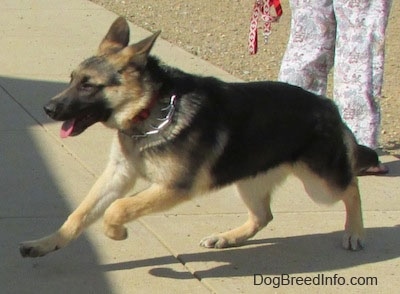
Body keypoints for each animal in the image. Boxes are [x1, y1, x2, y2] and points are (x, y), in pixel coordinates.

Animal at [20, 17, 380, 258]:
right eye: (71, 79)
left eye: (88, 85)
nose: (47, 108)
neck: (151, 110)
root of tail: (328, 105)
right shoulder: (118, 175)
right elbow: (79, 214)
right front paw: (48, 243)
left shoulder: (174, 187)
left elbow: (119, 207)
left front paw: (116, 231)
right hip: (249, 180)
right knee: (263, 216)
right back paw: (229, 238)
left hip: (320, 187)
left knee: (351, 188)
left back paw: (355, 232)